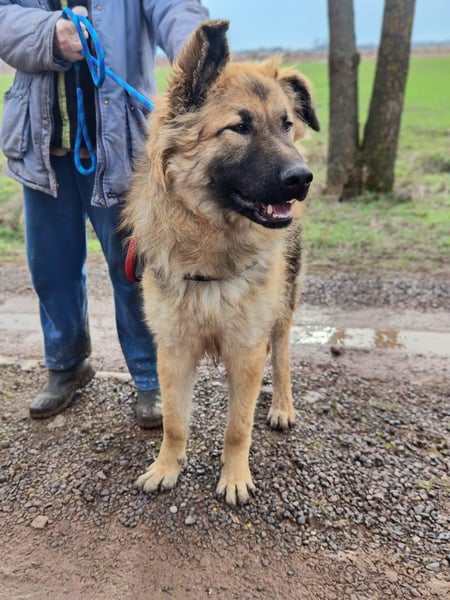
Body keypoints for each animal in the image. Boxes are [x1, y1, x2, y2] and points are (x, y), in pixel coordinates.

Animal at [123, 20, 320, 505]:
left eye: (287, 125)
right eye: (239, 127)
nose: (302, 178)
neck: (211, 246)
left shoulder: (245, 349)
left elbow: (237, 427)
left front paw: (234, 478)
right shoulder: (173, 350)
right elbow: (175, 422)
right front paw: (166, 468)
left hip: (282, 309)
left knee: (282, 357)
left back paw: (282, 406)